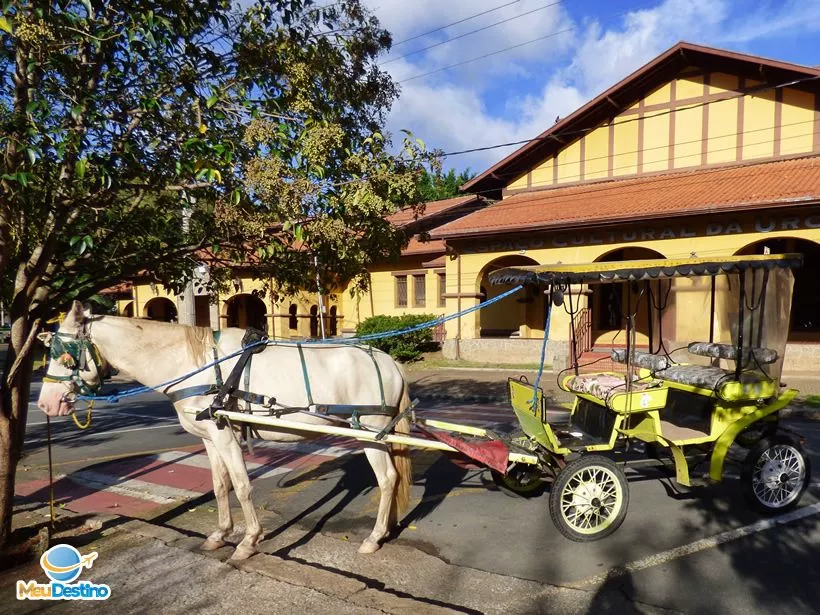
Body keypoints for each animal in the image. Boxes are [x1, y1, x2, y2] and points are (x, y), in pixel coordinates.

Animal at [36, 300, 414, 560]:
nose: (45, 403)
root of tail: (389, 360)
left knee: (387, 479)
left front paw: (248, 541)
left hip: (370, 434)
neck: (196, 364)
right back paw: (385, 530)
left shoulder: (225, 434)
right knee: (391, 479)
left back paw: (373, 537)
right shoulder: (209, 438)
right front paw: (220, 534)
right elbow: (219, 486)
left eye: (65, 354)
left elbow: (243, 486)